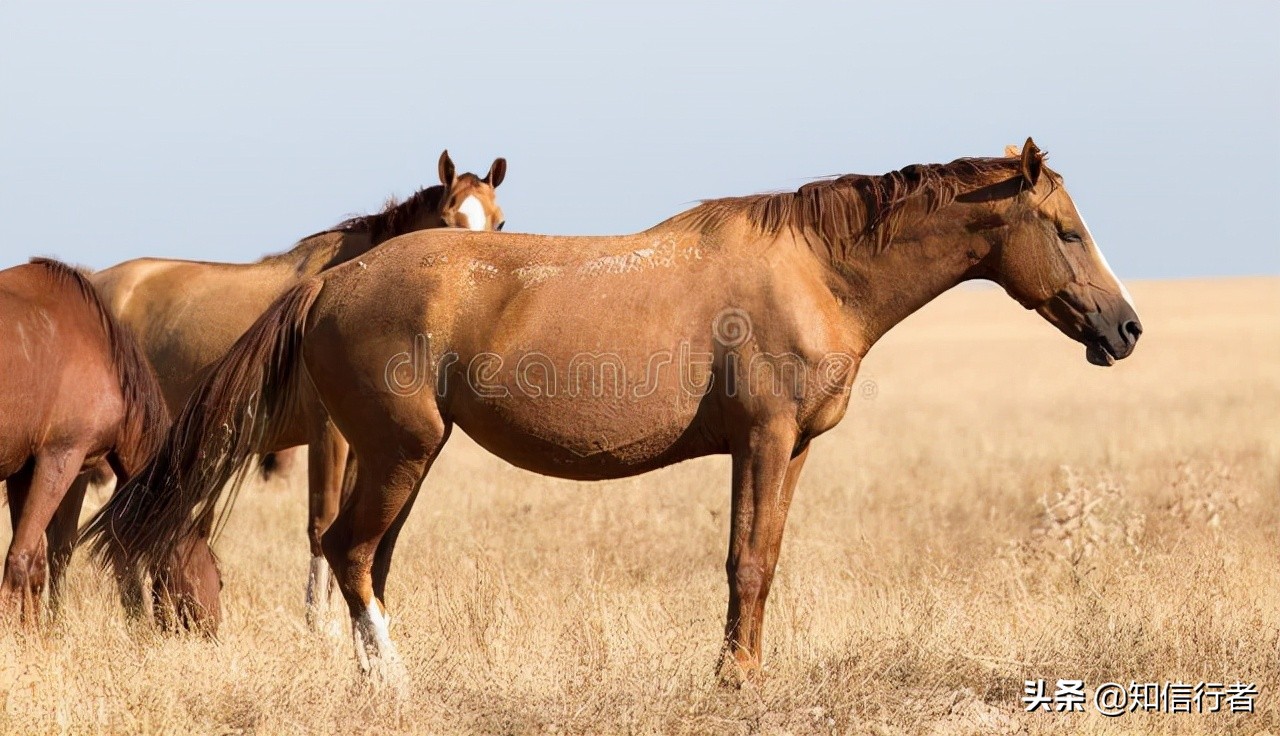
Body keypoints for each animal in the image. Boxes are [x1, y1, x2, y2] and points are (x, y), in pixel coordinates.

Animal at [90, 151, 506, 634]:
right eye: (445, 219)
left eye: (499, 223)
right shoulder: (328, 436)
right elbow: (320, 523)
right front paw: (320, 622)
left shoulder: (365, 446)